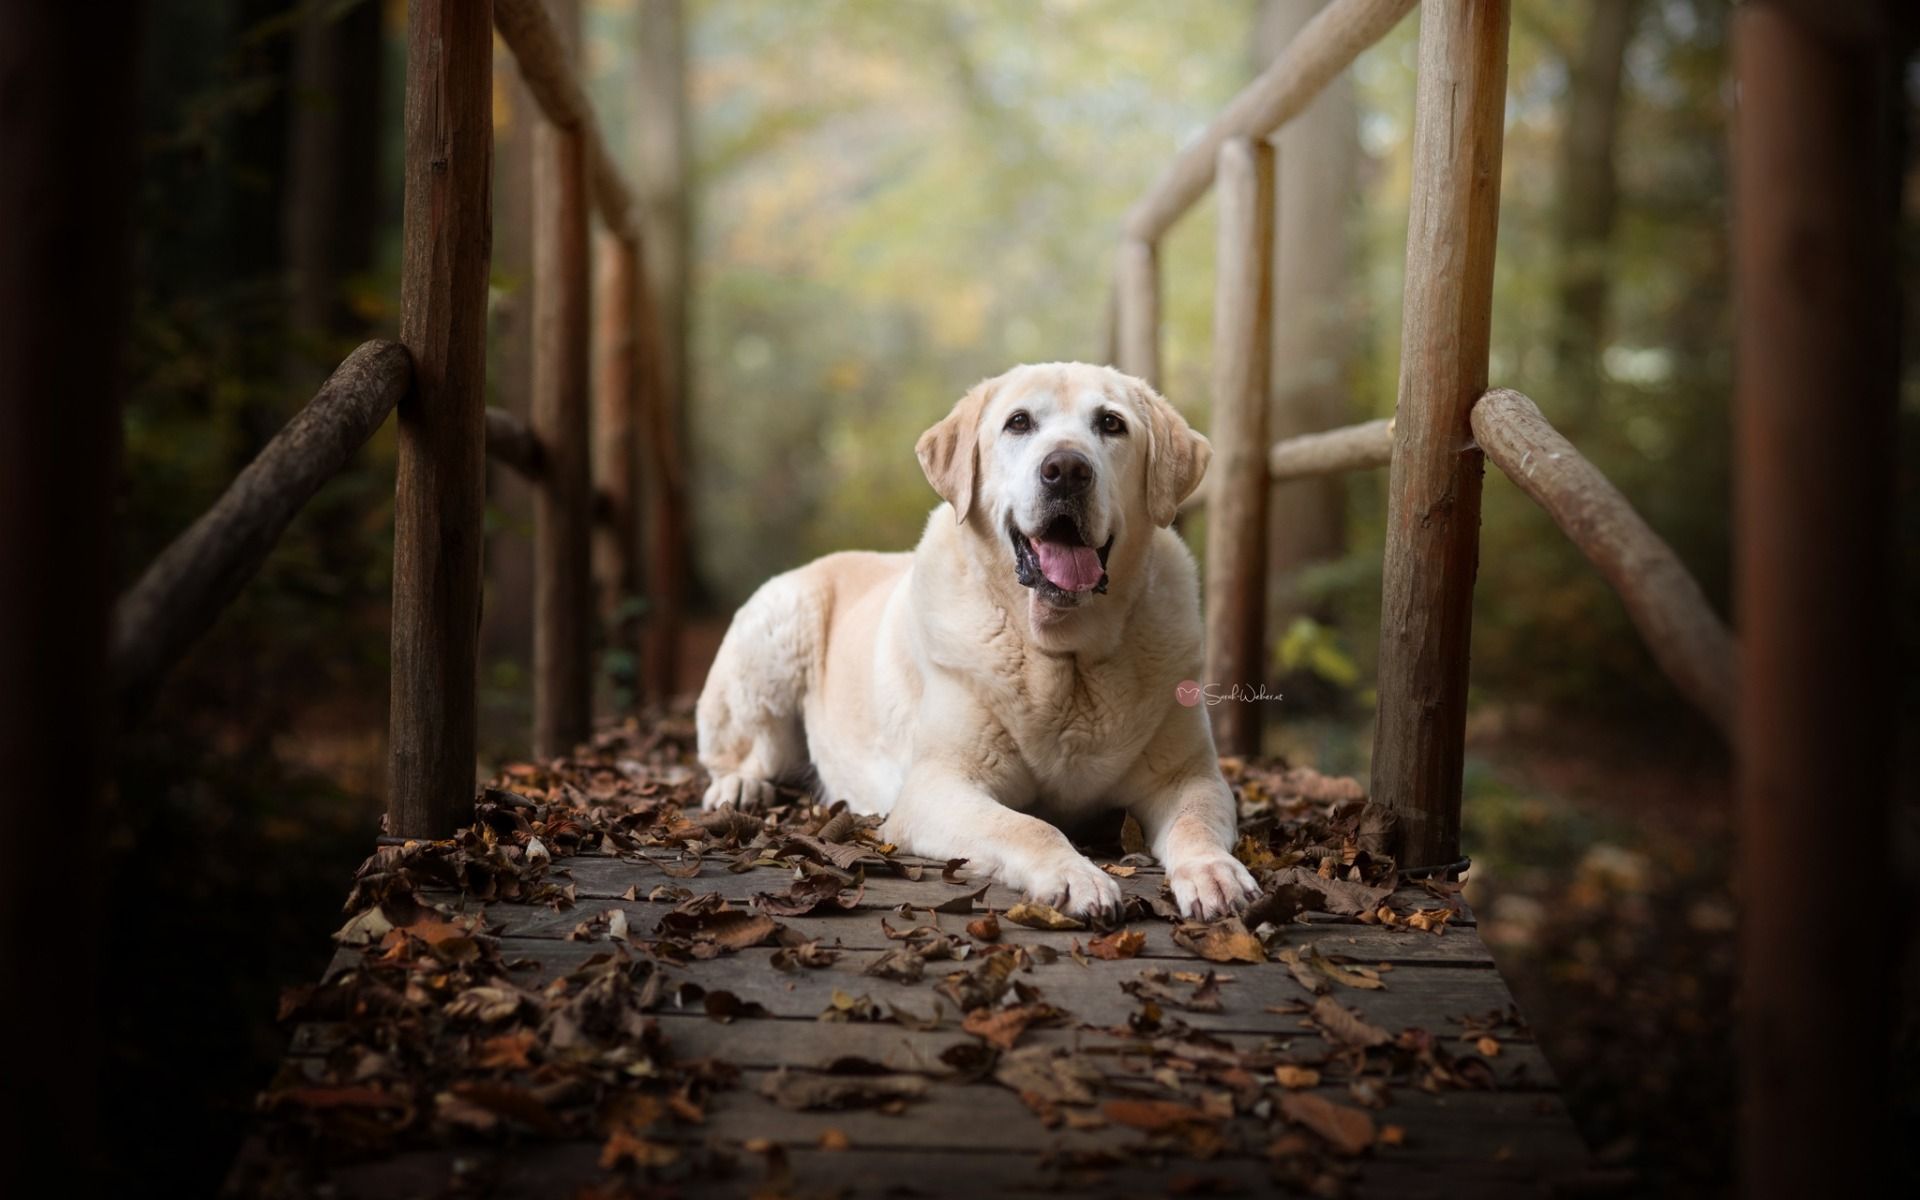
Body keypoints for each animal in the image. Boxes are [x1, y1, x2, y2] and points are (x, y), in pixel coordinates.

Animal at [698, 362, 1251, 917]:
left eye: (1111, 424)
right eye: (1019, 422)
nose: (1067, 469)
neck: (1063, 655)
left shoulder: (1189, 776)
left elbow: (1195, 824)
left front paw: (1213, 872)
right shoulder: (938, 784)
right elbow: (1030, 826)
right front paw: (1077, 876)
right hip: (780, 627)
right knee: (745, 750)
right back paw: (739, 786)